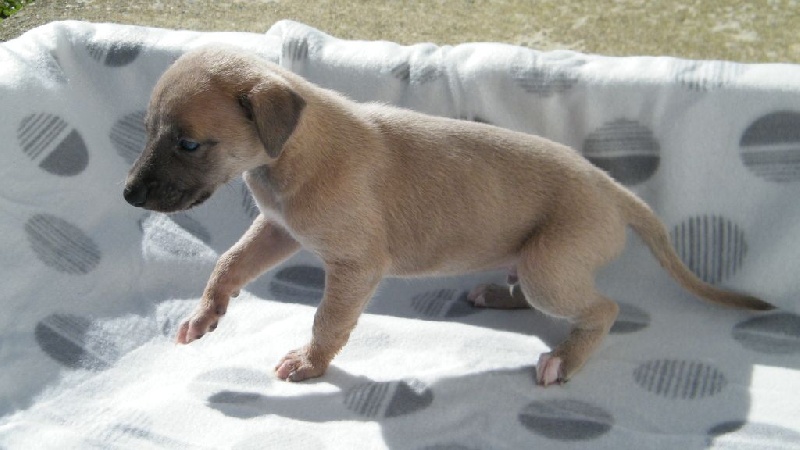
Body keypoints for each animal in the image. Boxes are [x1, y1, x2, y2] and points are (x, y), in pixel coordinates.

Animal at [123, 46, 773, 386]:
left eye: (189, 144)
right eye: (151, 130)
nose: (129, 196)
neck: (295, 150)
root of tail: (617, 192)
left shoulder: (355, 264)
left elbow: (328, 319)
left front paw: (309, 363)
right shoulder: (281, 229)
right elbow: (230, 262)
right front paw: (206, 314)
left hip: (550, 263)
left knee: (602, 309)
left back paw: (564, 359)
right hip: (535, 261)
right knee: (535, 290)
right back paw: (499, 296)